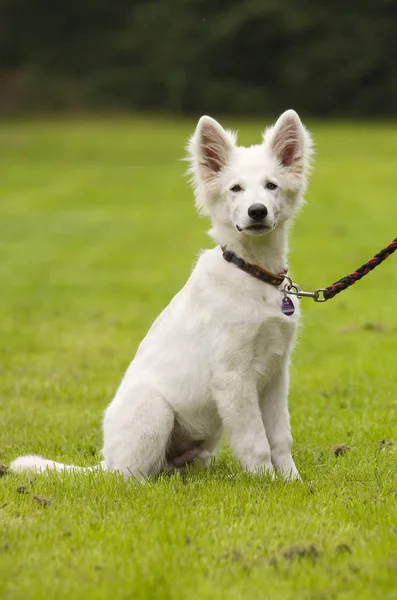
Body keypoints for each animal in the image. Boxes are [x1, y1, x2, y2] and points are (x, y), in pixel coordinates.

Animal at [10, 110, 312, 480]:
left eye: (271, 185)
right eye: (235, 188)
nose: (257, 211)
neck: (252, 273)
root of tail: (106, 463)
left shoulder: (275, 373)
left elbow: (280, 437)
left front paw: (292, 482)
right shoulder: (233, 376)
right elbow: (256, 442)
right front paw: (266, 483)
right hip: (156, 411)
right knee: (134, 476)